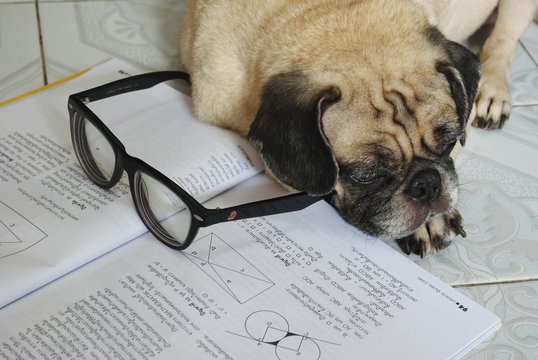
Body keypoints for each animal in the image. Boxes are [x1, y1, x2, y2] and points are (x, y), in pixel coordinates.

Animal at [178, 0, 532, 258]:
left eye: (449, 145)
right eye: (366, 176)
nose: (427, 184)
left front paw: (432, 221)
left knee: (502, 40)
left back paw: (492, 90)